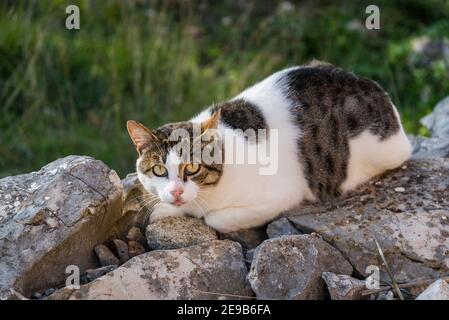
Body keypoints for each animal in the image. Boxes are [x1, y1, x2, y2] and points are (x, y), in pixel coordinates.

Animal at [126, 62, 410, 232]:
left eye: (193, 168)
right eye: (159, 170)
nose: (175, 192)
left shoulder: (282, 194)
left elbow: (213, 218)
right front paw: (166, 207)